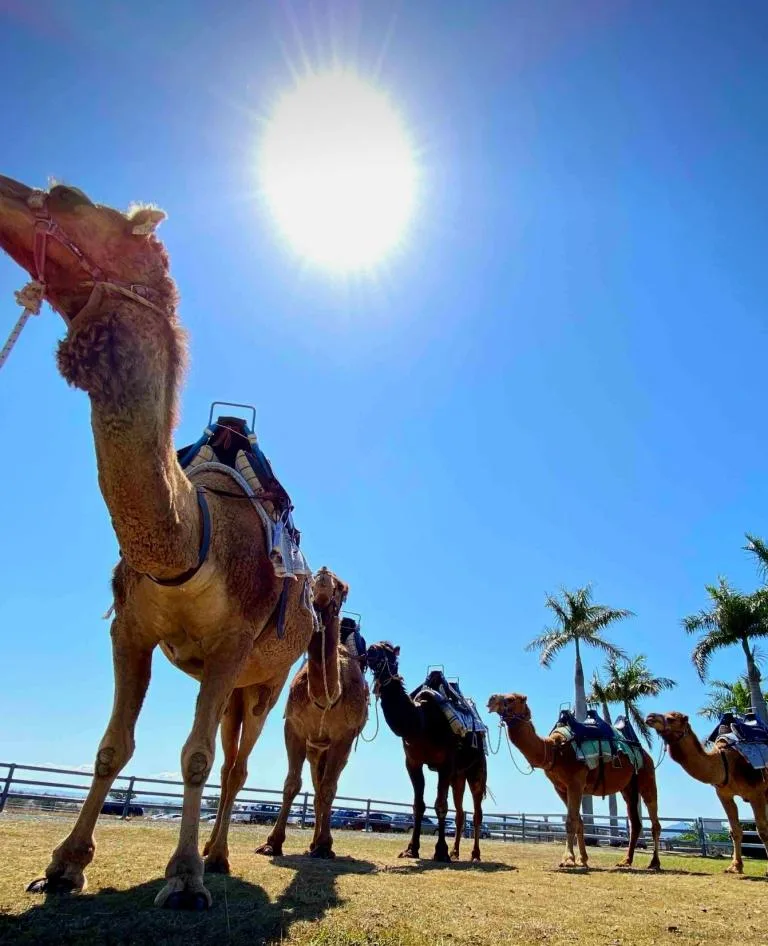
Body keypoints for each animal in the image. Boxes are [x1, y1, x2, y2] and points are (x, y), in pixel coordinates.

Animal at [0, 177, 316, 908]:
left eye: (71, 199)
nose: (6, 189)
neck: (191, 541)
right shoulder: (131, 630)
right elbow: (112, 747)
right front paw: (64, 865)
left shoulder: (233, 645)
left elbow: (195, 757)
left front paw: (185, 879)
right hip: (236, 684)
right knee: (229, 755)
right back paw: (215, 851)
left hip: (267, 677)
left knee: (236, 763)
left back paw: (218, 858)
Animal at [255, 564, 368, 860]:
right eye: (314, 578)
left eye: (342, 588)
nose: (325, 575)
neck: (326, 699)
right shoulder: (294, 727)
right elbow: (291, 784)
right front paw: (271, 843)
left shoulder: (344, 736)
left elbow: (328, 788)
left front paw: (325, 845)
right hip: (315, 749)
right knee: (316, 784)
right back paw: (312, 843)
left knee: (324, 787)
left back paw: (319, 844)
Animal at [366, 636, 486, 860]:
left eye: (390, 653)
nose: (371, 650)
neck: (421, 722)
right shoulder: (413, 762)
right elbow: (418, 805)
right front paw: (411, 849)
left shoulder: (446, 764)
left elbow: (440, 805)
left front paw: (440, 851)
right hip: (458, 776)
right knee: (460, 813)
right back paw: (456, 852)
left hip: (477, 768)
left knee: (476, 812)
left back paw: (474, 854)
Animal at [492, 688, 660, 868]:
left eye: (511, 699)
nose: (491, 699)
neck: (554, 750)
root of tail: (644, 752)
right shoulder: (560, 787)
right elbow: (579, 821)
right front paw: (582, 859)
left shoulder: (575, 783)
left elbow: (571, 820)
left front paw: (568, 859)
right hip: (628, 787)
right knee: (635, 822)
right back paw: (625, 860)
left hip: (647, 775)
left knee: (654, 821)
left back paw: (654, 862)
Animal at [648, 708, 768, 872]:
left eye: (671, 718)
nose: (649, 717)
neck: (726, 763)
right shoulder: (724, 794)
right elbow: (735, 830)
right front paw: (735, 867)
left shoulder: (756, 793)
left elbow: (762, 830)